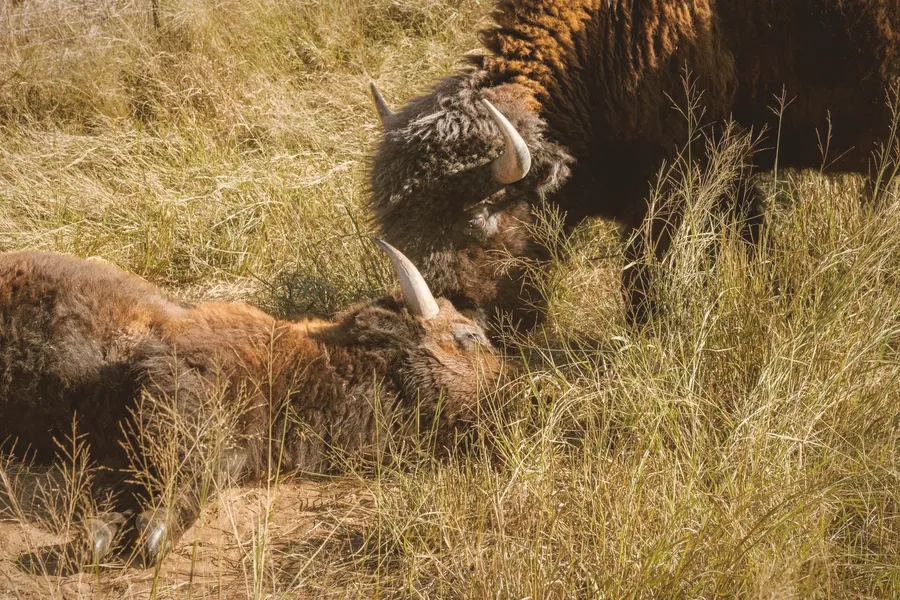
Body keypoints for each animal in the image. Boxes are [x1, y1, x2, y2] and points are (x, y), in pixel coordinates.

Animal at [0, 241, 501, 565]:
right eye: (469, 336)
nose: (503, 389)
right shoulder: (180, 387)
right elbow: (166, 462)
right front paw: (113, 531)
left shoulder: (237, 450)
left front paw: (125, 532)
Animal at [369, 0, 900, 327]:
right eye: (395, 228)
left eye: (479, 220)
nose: (451, 315)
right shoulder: (733, 178)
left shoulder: (675, 190)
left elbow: (643, 279)